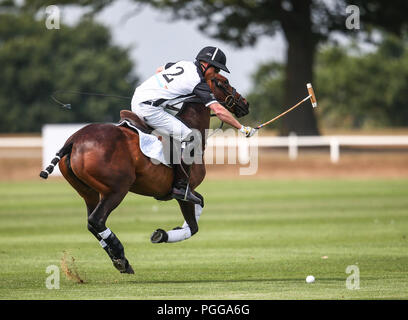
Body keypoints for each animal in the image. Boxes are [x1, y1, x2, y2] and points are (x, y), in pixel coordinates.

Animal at [39, 70, 249, 276]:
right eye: (224, 81)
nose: (245, 104)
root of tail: (74, 140)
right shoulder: (183, 192)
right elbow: (193, 225)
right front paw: (161, 234)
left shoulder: (184, 191)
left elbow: (199, 208)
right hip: (116, 189)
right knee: (96, 220)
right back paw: (120, 257)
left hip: (88, 192)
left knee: (91, 223)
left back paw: (120, 259)